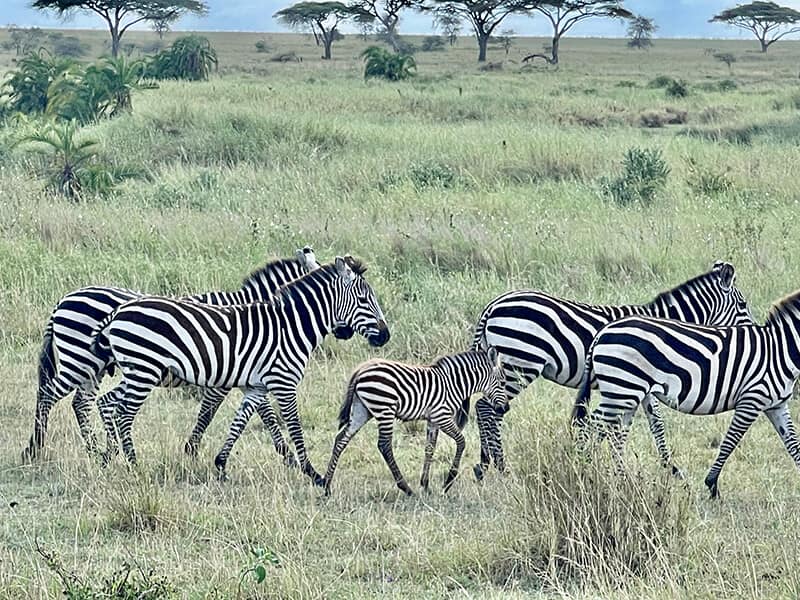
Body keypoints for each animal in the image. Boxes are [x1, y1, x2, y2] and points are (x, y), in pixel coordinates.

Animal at [23, 246, 320, 463]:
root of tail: (64, 300)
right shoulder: (228, 376)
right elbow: (218, 413)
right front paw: (192, 450)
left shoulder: (244, 373)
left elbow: (257, 413)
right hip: (80, 360)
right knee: (49, 394)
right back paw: (35, 448)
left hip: (92, 367)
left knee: (80, 403)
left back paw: (95, 450)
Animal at [90, 256, 389, 485]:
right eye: (364, 299)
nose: (385, 336)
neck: (290, 326)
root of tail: (118, 311)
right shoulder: (282, 382)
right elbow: (293, 426)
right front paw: (311, 472)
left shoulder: (255, 385)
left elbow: (240, 421)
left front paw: (221, 464)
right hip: (144, 370)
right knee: (123, 414)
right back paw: (134, 465)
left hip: (137, 370)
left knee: (108, 403)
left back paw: (109, 457)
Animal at [322, 348, 507, 496]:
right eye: (502, 382)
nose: (505, 408)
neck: (454, 384)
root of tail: (361, 370)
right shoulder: (442, 416)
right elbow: (461, 442)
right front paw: (448, 482)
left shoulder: (433, 420)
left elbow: (429, 449)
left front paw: (425, 485)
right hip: (385, 410)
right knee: (384, 445)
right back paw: (406, 488)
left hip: (362, 410)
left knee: (341, 439)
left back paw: (327, 486)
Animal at [470, 261, 754, 480]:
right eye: (743, 305)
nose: (752, 331)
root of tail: (493, 305)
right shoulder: (643, 381)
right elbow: (655, 425)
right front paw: (670, 469)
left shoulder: (641, 386)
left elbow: (647, 426)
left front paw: (662, 467)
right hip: (520, 365)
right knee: (488, 409)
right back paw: (499, 466)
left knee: (484, 408)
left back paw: (485, 465)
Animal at [572, 288, 800, 498]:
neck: (781, 350)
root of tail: (603, 331)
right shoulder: (752, 399)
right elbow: (729, 442)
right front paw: (712, 486)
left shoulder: (776, 405)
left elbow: (793, 445)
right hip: (621, 390)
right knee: (589, 426)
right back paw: (582, 474)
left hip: (627, 393)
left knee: (613, 434)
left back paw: (617, 481)